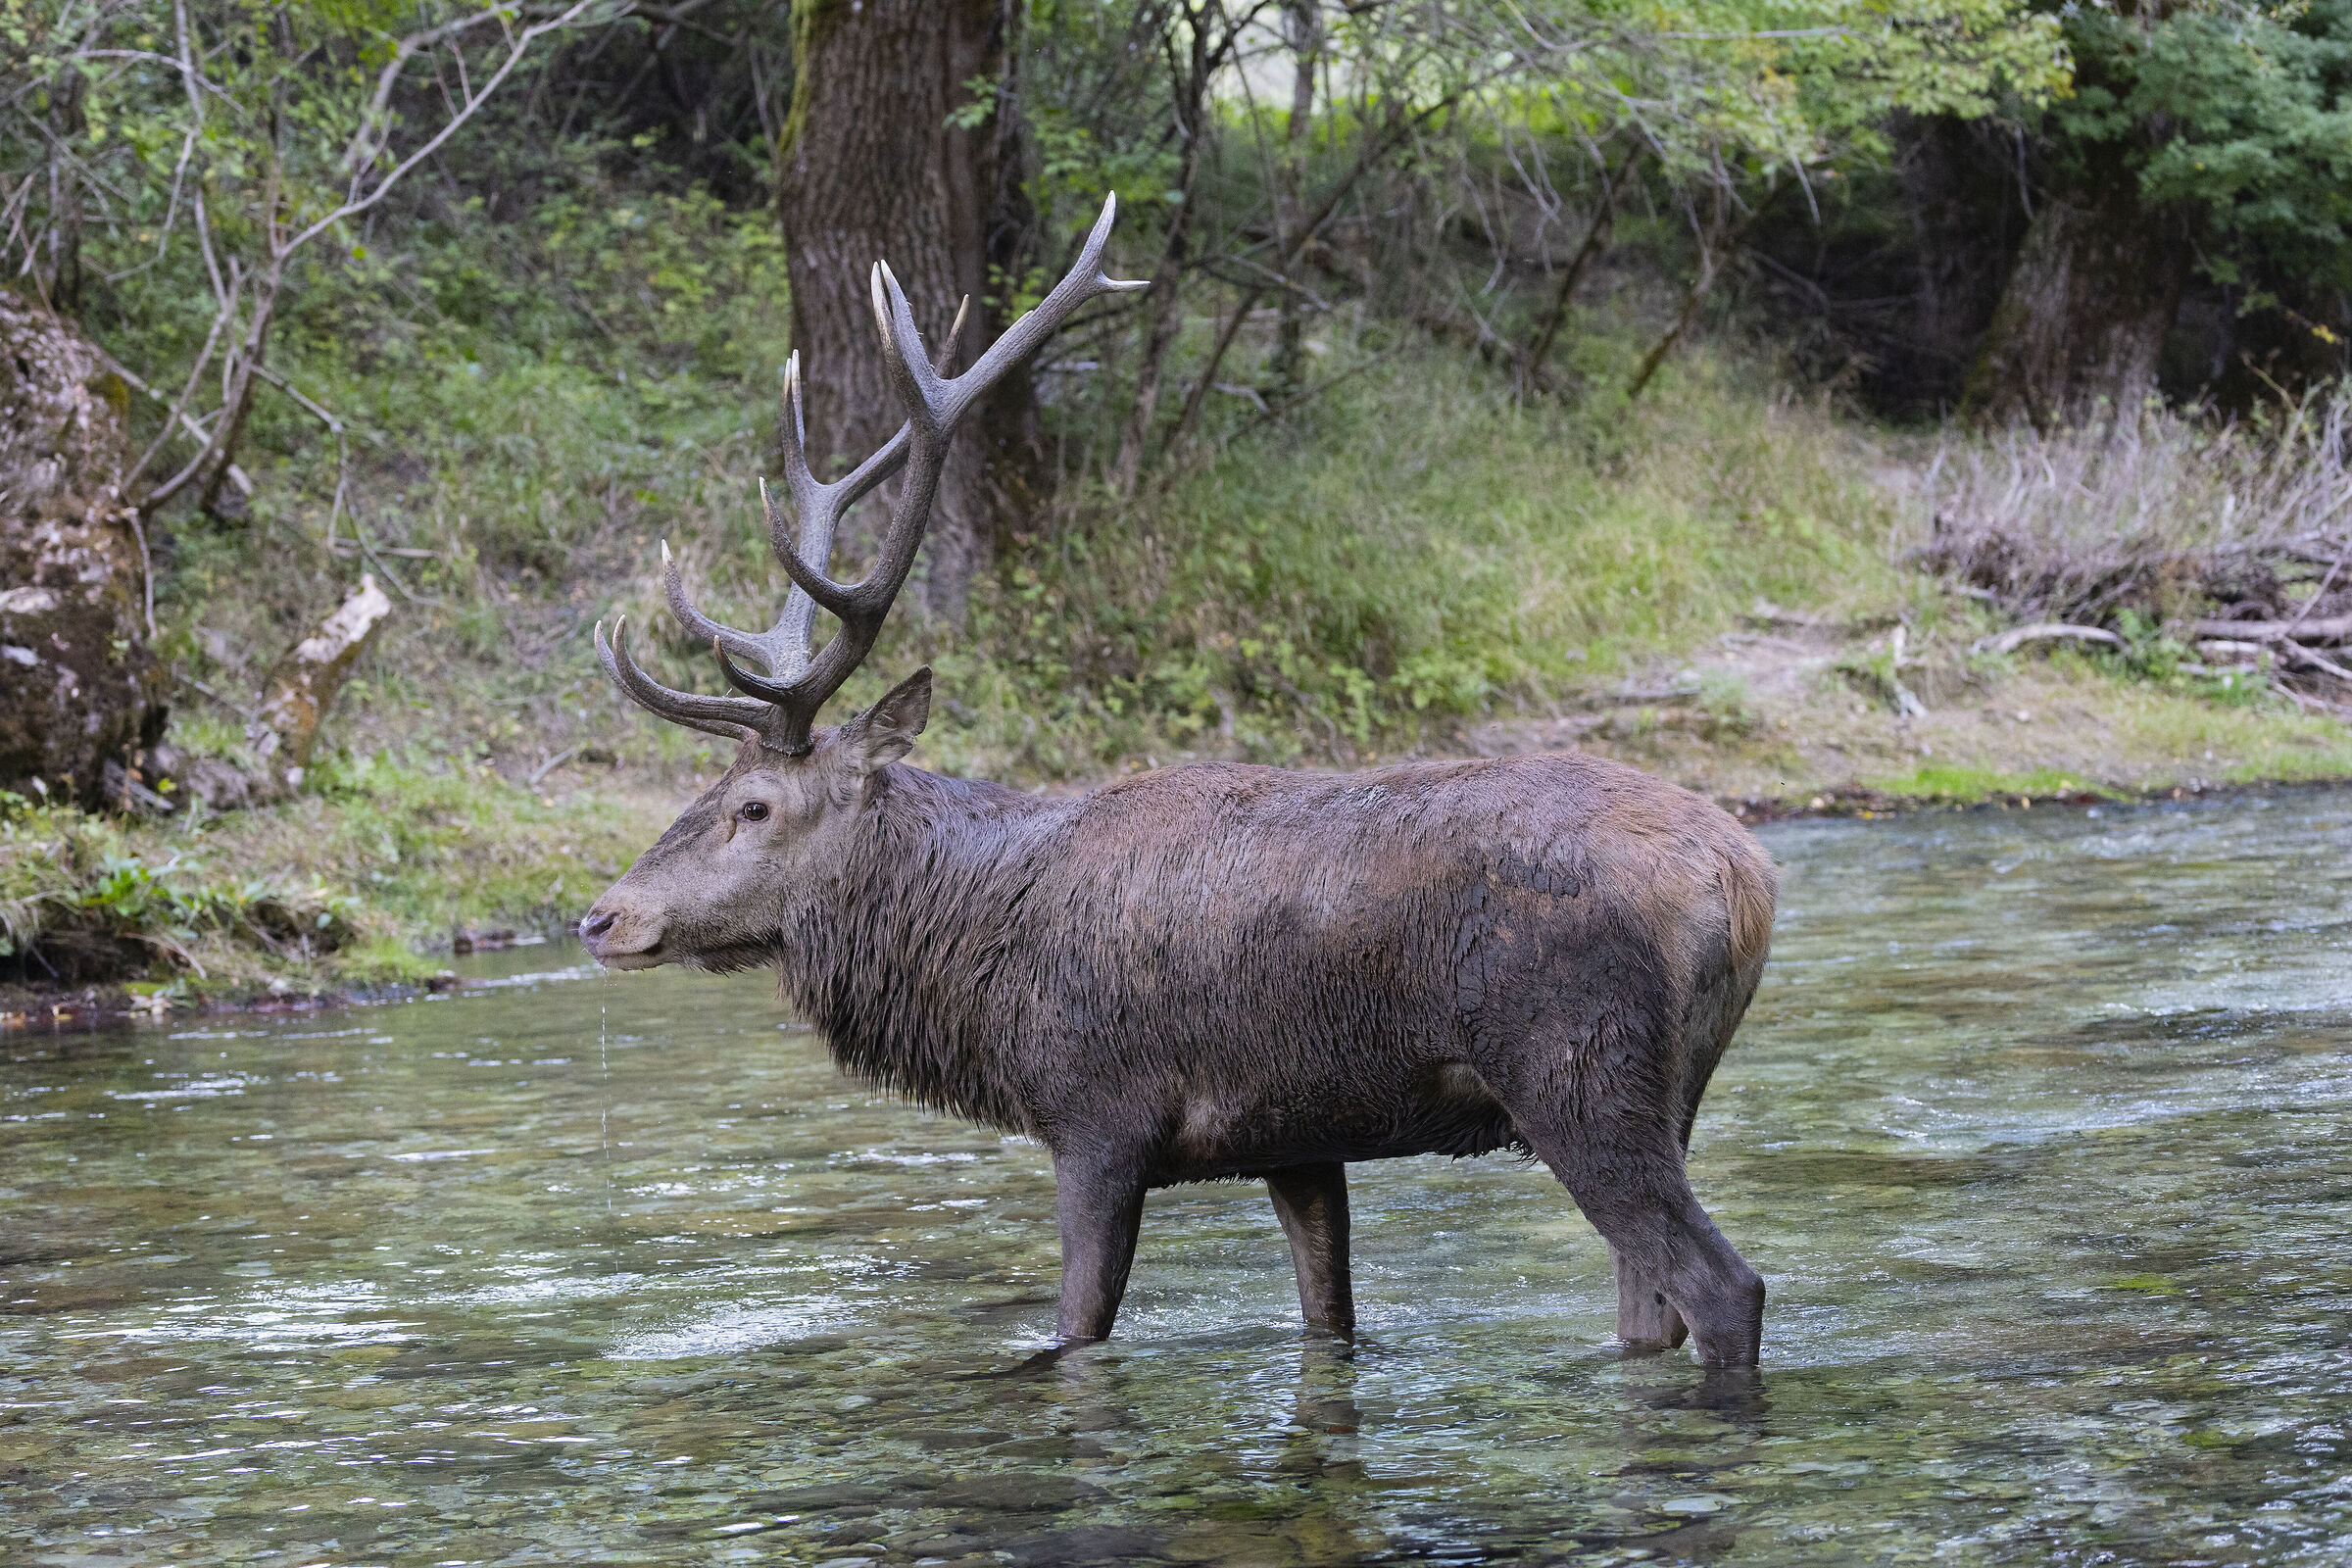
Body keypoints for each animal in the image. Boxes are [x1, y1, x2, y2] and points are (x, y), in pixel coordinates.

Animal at [578, 196, 1778, 1367]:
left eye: (753, 808)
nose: (601, 916)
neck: (972, 962)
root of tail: (1744, 880)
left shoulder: (1098, 1116)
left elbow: (1075, 1329)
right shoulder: (1296, 1136)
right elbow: (1328, 1317)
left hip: (1577, 1070)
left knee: (1724, 1287)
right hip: (1670, 1091)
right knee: (1648, 1307)